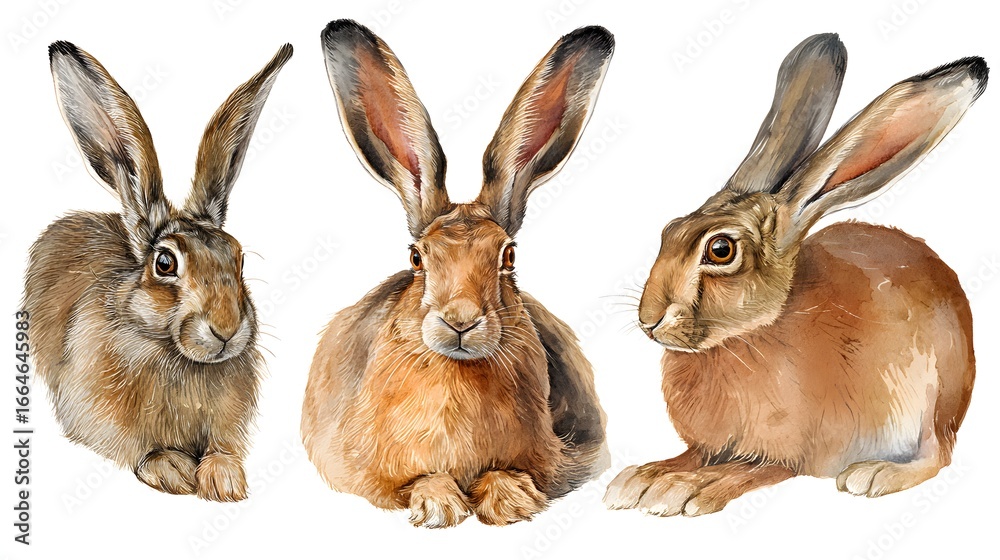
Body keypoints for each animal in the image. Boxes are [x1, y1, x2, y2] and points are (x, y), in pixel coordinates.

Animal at [23, 41, 292, 501]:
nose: (226, 328)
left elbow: (223, 447)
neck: (174, 353)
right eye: (165, 263)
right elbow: (138, 448)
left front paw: (224, 479)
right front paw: (172, 468)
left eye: (238, 257)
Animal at [301, 20, 613, 528]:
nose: (460, 321)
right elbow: (414, 482)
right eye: (416, 258)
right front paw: (438, 505)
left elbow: (510, 474)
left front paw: (509, 501)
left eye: (509, 256)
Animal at [603, 33, 986, 516]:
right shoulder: (708, 446)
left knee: (938, 454)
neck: (746, 337)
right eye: (669, 230)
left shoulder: (789, 455)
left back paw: (875, 474)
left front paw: (683, 491)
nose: (649, 320)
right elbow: (694, 455)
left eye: (720, 250)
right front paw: (642, 478)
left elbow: (748, 471)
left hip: (930, 399)